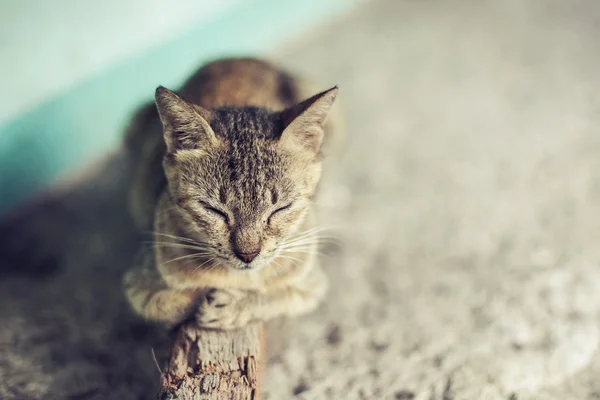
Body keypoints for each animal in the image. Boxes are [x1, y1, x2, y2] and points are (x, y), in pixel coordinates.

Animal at [123, 58, 340, 328]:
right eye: (212, 209)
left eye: (281, 209)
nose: (248, 255)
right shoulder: (139, 281)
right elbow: (169, 301)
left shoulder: (312, 284)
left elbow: (276, 297)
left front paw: (235, 305)